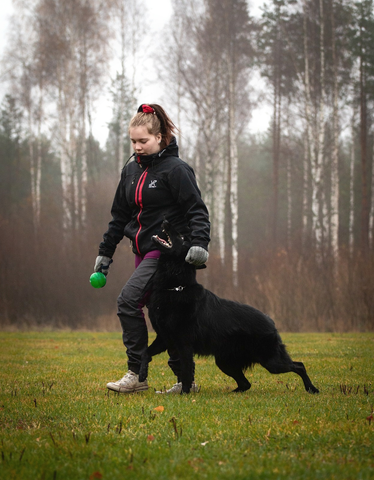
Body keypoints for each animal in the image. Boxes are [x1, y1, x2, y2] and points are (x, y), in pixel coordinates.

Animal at [139, 221, 320, 394]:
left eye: (182, 238)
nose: (166, 221)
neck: (176, 287)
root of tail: (270, 321)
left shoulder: (184, 345)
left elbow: (185, 373)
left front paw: (184, 393)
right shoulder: (164, 338)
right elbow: (145, 352)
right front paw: (142, 374)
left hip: (271, 362)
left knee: (299, 365)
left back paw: (312, 389)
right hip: (225, 362)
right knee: (246, 384)